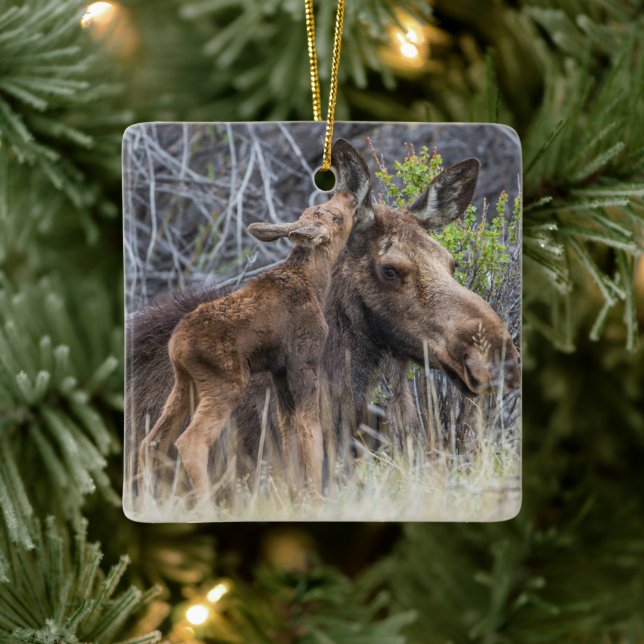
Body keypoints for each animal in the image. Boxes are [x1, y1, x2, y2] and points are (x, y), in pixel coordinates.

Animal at [136, 189, 358, 498]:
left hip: (184, 385)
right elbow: (312, 436)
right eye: (335, 215)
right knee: (190, 442)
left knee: (151, 442)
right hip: (225, 382)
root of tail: (176, 345)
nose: (347, 194)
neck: (317, 283)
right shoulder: (305, 363)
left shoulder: (280, 373)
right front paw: (315, 497)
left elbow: (289, 438)